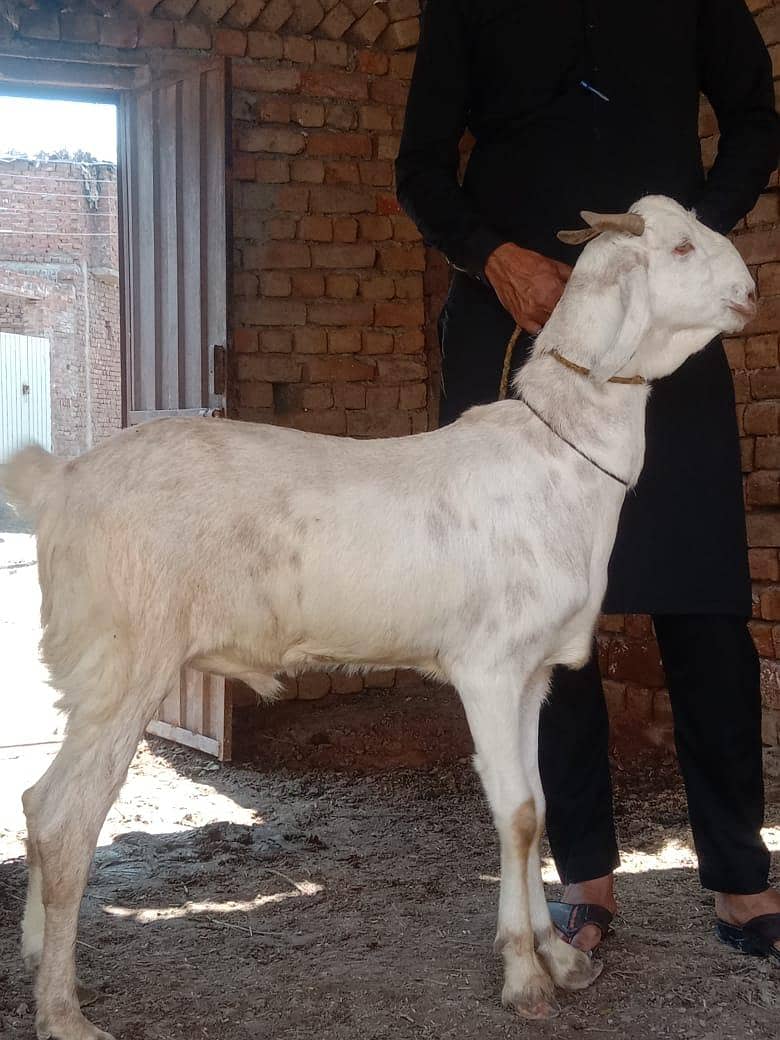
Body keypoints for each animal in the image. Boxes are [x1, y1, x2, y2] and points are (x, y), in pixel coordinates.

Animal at [2, 196, 756, 1039]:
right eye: (682, 247)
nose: (752, 294)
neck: (558, 457)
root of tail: (60, 482)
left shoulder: (530, 674)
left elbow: (535, 803)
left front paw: (556, 955)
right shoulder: (487, 666)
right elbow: (517, 814)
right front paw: (524, 975)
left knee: (37, 802)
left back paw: (36, 955)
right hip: (124, 657)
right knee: (65, 816)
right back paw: (62, 1010)